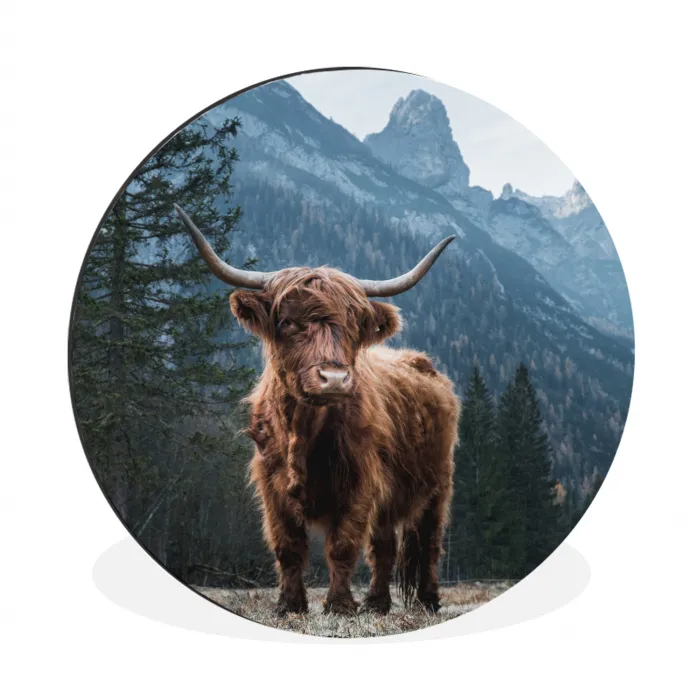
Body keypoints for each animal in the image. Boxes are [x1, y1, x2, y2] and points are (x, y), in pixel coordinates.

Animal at [175, 204, 460, 616]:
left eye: (354, 326)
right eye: (287, 322)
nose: (335, 378)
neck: (303, 431)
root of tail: (422, 362)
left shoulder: (360, 482)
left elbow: (342, 546)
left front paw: (339, 605)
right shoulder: (271, 486)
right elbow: (288, 547)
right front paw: (289, 605)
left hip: (439, 484)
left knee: (429, 543)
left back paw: (428, 600)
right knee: (384, 546)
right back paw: (377, 603)